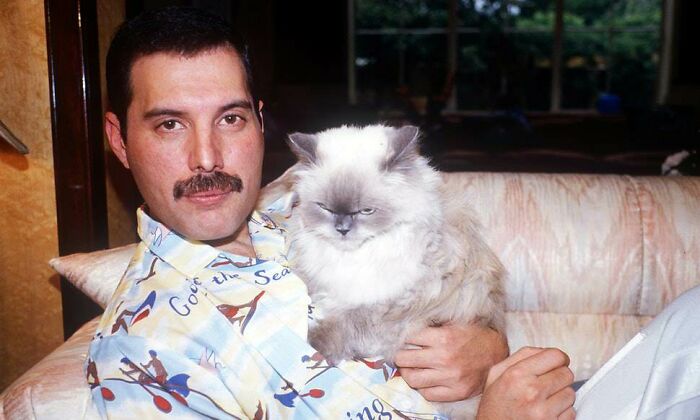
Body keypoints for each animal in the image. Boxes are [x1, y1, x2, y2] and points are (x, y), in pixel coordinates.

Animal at [268, 124, 504, 420]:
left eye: (366, 211)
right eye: (325, 208)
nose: (342, 229)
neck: (355, 255)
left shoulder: (391, 305)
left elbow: (346, 323)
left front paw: (314, 340)